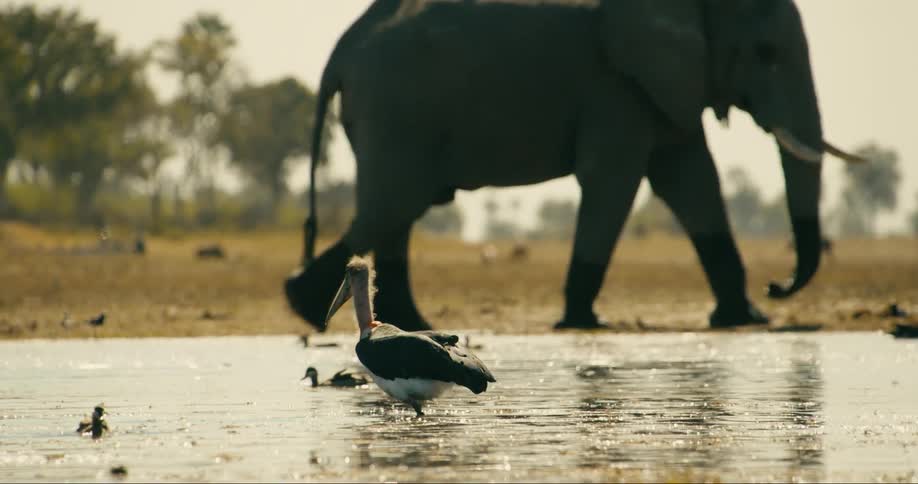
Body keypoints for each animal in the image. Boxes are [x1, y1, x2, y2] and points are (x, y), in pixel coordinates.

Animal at [285, 0, 865, 332]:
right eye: (765, 52)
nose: (777, 285)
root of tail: (341, 49)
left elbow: (691, 176)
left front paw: (743, 319)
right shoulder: (614, 82)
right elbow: (617, 179)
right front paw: (586, 323)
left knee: (396, 211)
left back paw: (400, 321)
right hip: (396, 107)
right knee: (395, 203)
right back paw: (304, 305)